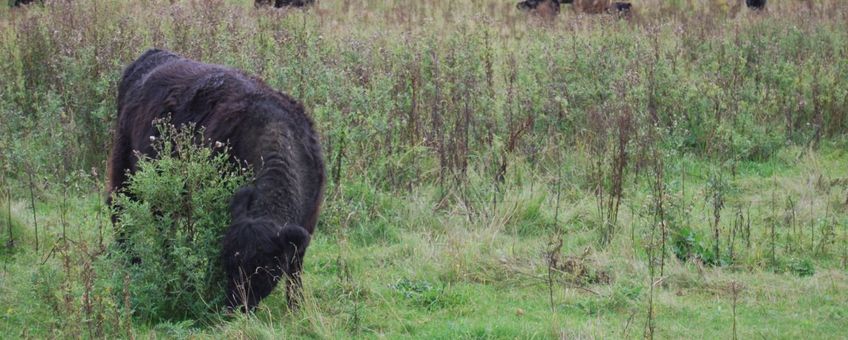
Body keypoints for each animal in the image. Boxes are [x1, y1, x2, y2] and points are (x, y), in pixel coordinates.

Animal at [108, 49, 324, 312]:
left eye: (262, 269)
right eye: (227, 263)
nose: (234, 307)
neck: (274, 131)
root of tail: (155, 55)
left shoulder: (307, 224)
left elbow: (295, 270)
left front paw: (297, 308)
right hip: (124, 167)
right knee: (119, 208)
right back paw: (133, 261)